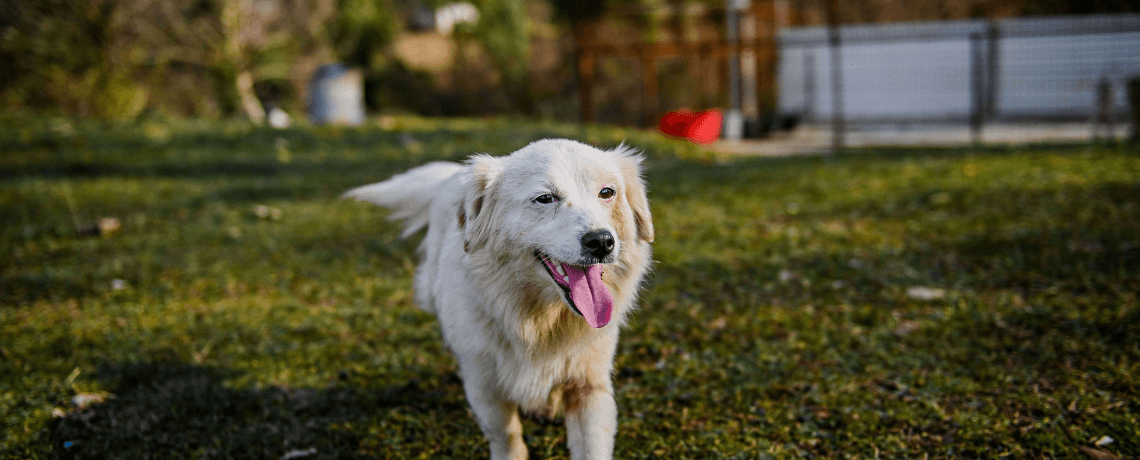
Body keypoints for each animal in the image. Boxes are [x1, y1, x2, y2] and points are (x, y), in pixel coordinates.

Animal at [342, 138, 656, 457]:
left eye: (607, 193)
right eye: (545, 198)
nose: (602, 241)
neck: (539, 322)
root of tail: (454, 174)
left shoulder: (590, 386)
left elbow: (592, 447)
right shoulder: (485, 387)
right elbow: (506, 435)